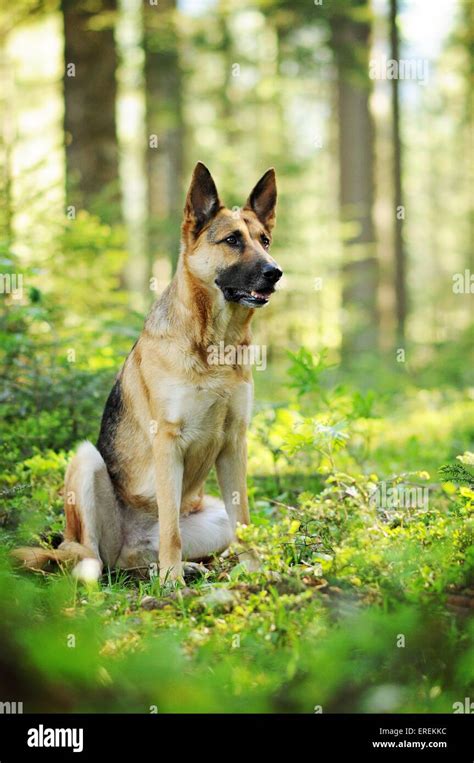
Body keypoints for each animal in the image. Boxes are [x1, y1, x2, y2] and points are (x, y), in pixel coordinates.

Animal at [13, 164, 282, 584]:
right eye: (233, 240)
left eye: (265, 240)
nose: (276, 272)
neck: (214, 348)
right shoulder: (168, 442)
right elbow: (171, 528)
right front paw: (171, 583)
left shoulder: (235, 444)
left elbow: (244, 521)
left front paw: (254, 574)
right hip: (85, 462)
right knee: (91, 557)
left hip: (210, 514)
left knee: (137, 558)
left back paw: (174, 567)